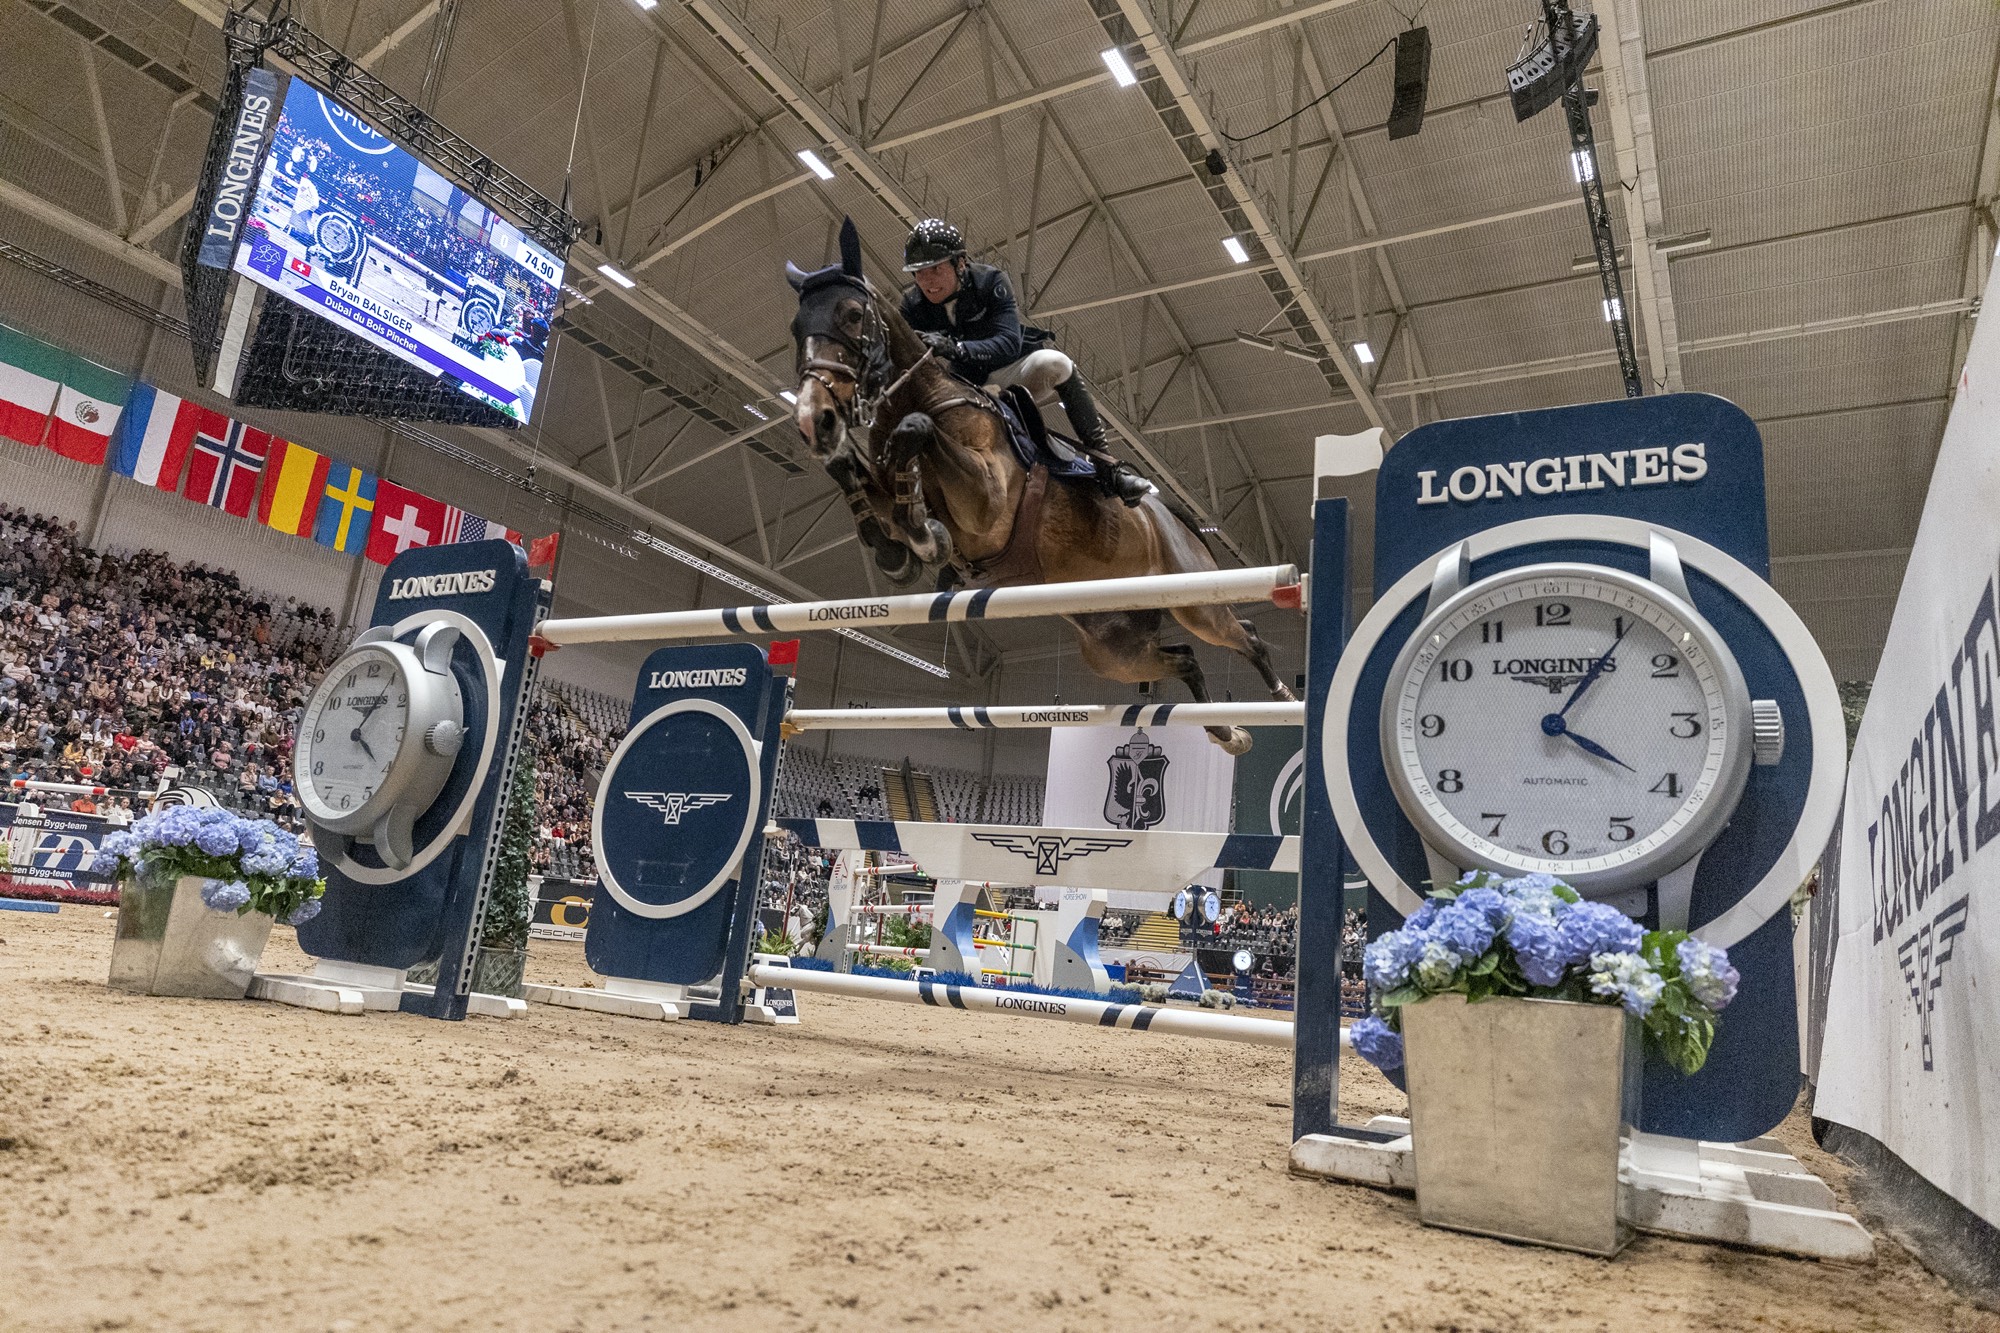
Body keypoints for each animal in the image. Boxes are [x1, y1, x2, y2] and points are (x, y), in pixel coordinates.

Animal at [780, 218, 1296, 748]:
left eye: (853, 315)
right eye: (797, 328)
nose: (814, 420)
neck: (926, 394)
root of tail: (1179, 520)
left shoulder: (986, 503)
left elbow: (917, 431)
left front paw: (924, 538)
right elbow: (852, 473)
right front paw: (896, 551)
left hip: (1192, 599)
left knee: (1244, 634)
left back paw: (1281, 698)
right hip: (1113, 646)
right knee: (1186, 659)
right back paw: (1226, 731)